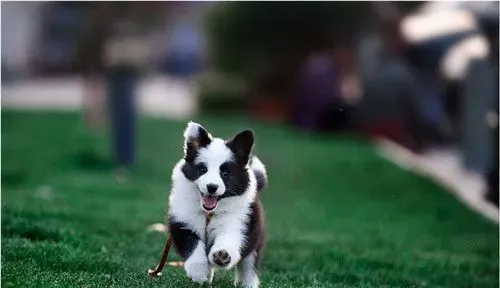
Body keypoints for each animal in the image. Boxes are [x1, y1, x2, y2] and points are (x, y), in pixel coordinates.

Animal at [168, 121, 268, 288]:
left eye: (225, 174)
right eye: (203, 169)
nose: (212, 187)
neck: (209, 214)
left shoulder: (238, 223)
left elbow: (229, 240)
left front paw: (222, 255)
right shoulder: (182, 223)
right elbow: (193, 247)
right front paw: (199, 273)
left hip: (256, 236)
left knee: (249, 264)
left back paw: (247, 284)